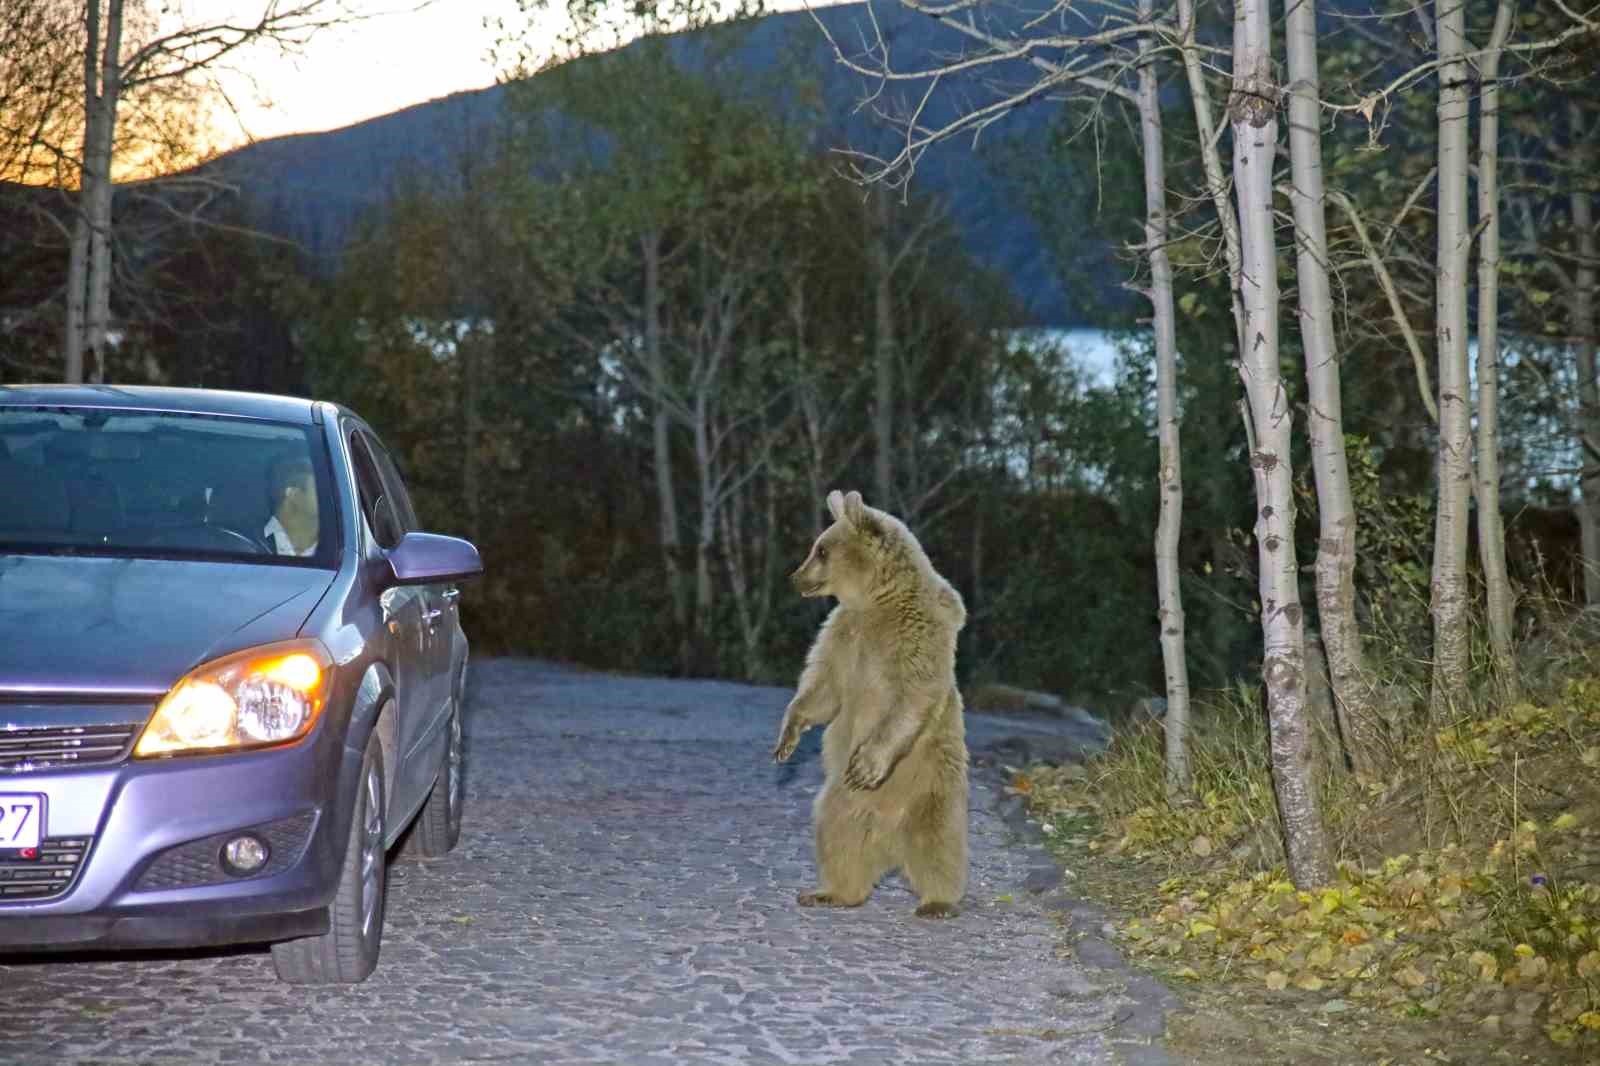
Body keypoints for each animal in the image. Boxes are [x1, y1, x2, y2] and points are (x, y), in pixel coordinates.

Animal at [768, 489, 966, 915]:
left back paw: (937, 902)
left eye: (821, 549)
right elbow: (823, 688)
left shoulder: (915, 635)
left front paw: (867, 764)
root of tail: (889, 845)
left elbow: (914, 694)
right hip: (840, 802)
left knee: (938, 842)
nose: (794, 578)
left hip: (931, 787)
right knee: (837, 837)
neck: (874, 600)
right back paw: (830, 892)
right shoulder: (842, 637)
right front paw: (786, 740)